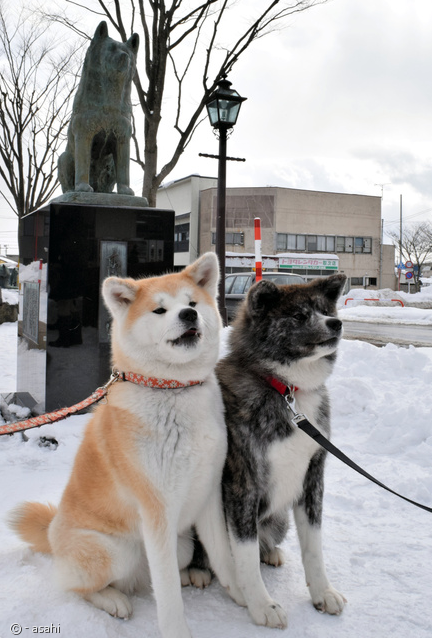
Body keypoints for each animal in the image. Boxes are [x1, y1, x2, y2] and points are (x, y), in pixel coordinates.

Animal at [216, 274, 348, 632]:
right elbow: (244, 553)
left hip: (278, 520)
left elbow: (313, 547)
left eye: (325, 310)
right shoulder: (242, 486)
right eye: (299, 316)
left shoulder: (312, 479)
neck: (286, 391)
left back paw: (270, 552)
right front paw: (262, 605)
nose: (336, 323)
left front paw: (323, 593)